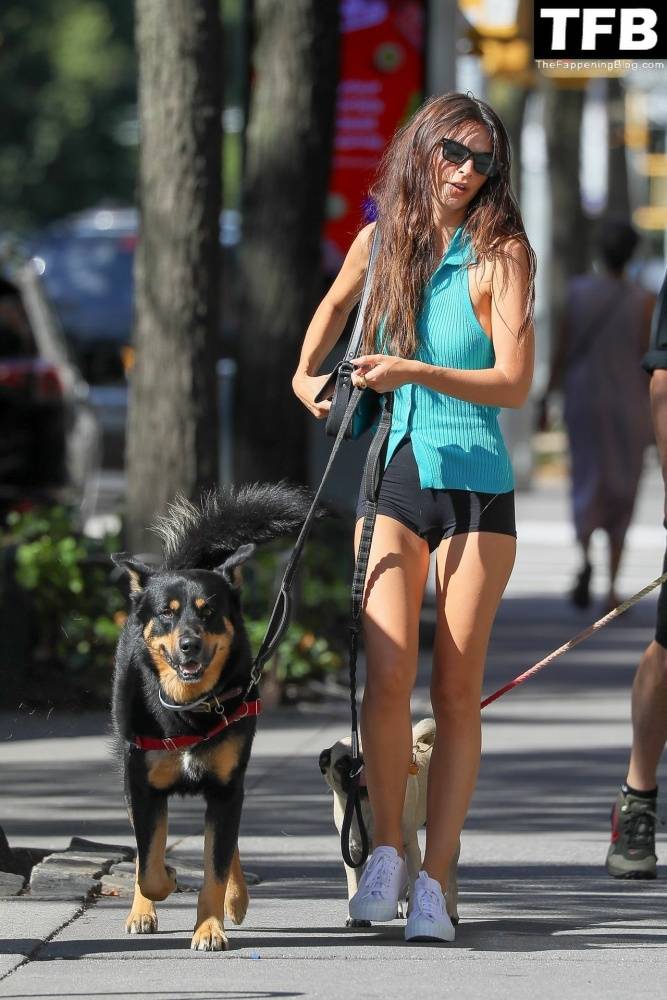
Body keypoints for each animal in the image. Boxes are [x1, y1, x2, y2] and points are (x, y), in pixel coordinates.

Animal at [112, 484, 314, 952]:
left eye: (207, 611)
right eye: (167, 612)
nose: (189, 644)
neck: (190, 708)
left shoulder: (225, 788)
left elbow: (215, 866)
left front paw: (209, 926)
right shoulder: (143, 786)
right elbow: (148, 864)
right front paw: (162, 887)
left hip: (231, 784)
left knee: (227, 846)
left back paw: (235, 900)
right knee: (145, 851)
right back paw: (141, 911)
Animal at [318, 716, 460, 924]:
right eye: (342, 764)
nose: (360, 769)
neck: (367, 806)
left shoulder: (410, 846)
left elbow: (414, 878)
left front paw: (414, 910)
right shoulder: (353, 852)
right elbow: (354, 884)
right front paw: (355, 917)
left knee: (450, 879)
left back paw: (450, 912)